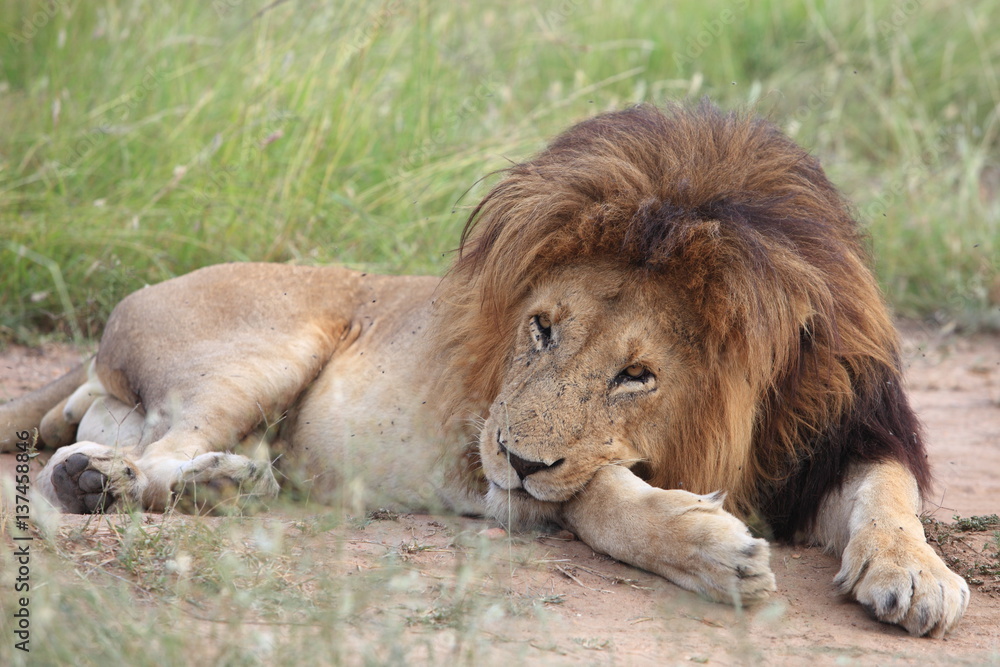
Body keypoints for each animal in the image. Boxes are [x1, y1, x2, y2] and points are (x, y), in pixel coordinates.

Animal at [0, 102, 968, 637]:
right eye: (539, 327)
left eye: (637, 375)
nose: (518, 457)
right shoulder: (491, 461)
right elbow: (595, 494)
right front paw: (707, 549)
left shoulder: (830, 436)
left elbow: (889, 493)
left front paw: (914, 574)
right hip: (265, 347)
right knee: (130, 454)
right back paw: (120, 482)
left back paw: (218, 485)